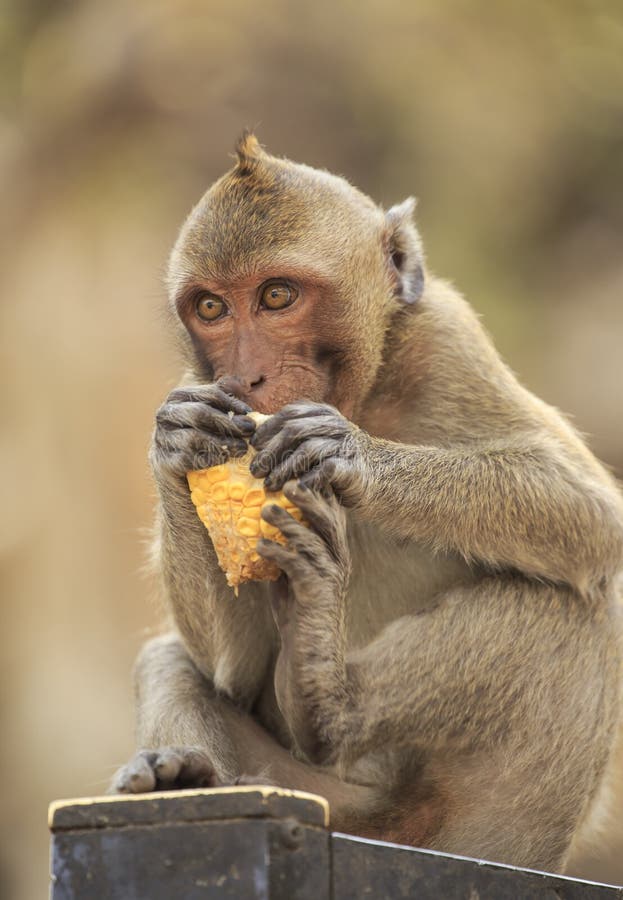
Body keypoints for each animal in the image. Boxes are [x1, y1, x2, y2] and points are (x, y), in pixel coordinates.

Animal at [111, 133, 623, 875]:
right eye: (211, 309)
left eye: (275, 296)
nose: (248, 376)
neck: (363, 395)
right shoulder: (203, 383)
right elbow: (229, 670)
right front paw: (175, 443)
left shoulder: (446, 337)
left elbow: (593, 516)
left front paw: (346, 453)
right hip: (319, 797)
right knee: (169, 660)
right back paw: (184, 775)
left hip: (487, 821)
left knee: (576, 605)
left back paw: (327, 702)